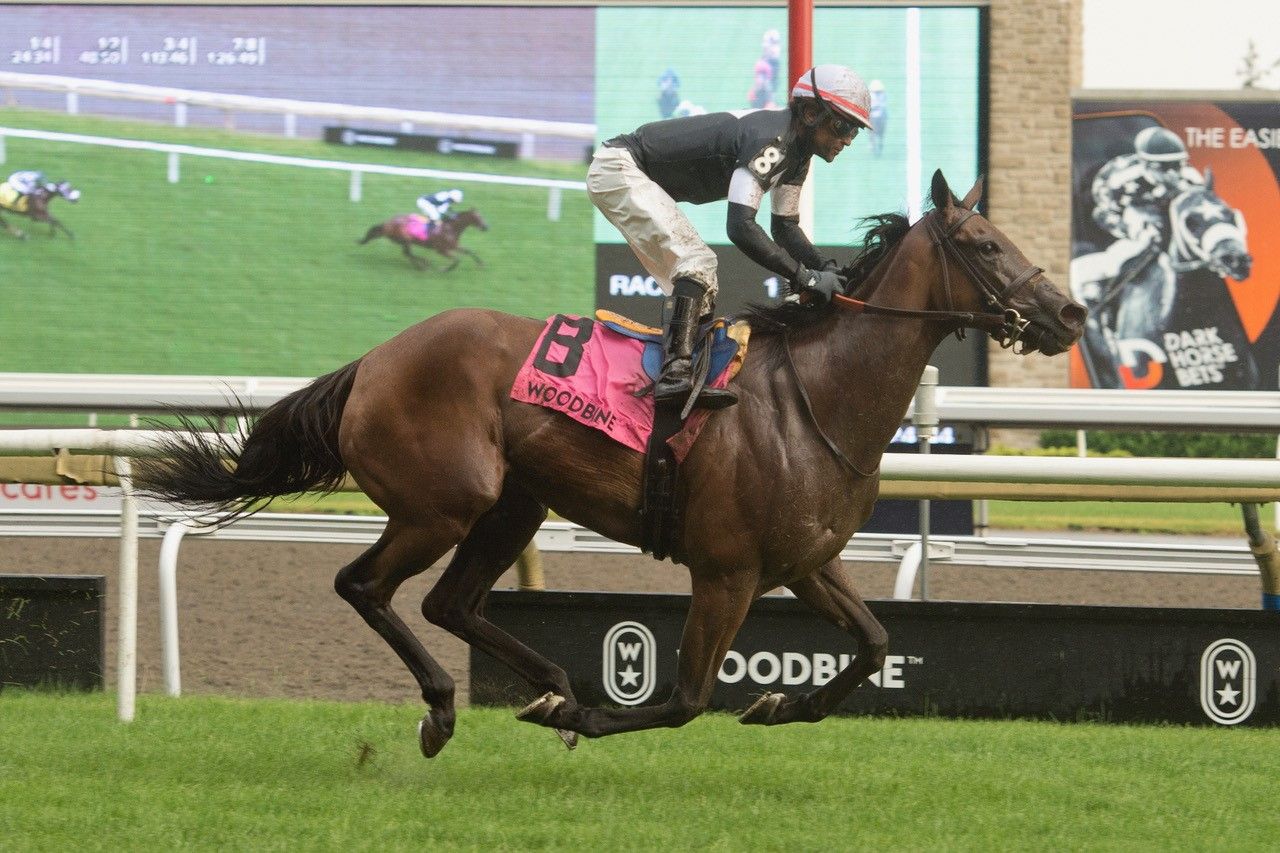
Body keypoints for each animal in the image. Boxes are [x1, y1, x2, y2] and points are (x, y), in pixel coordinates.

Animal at [358, 208, 486, 270]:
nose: (486, 227)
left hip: (403, 241)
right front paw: (444, 269)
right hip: (405, 239)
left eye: (481, 216)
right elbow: (456, 260)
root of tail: (387, 223)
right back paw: (423, 264)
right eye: (477, 217)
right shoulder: (441, 250)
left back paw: (422, 264)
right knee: (407, 253)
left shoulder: (454, 246)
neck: (450, 229)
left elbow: (469, 251)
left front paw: (480, 264)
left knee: (407, 253)